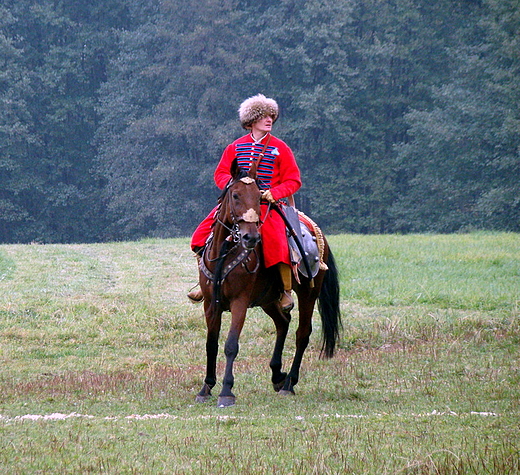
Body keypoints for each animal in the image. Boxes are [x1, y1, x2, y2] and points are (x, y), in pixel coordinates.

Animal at [195, 158, 342, 408]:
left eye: (258, 197)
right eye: (235, 195)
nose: (251, 237)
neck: (225, 250)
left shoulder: (240, 302)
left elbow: (231, 345)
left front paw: (226, 391)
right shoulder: (211, 304)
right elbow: (211, 344)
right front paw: (206, 388)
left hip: (307, 293)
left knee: (302, 333)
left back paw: (289, 383)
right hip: (268, 299)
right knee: (283, 322)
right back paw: (277, 375)